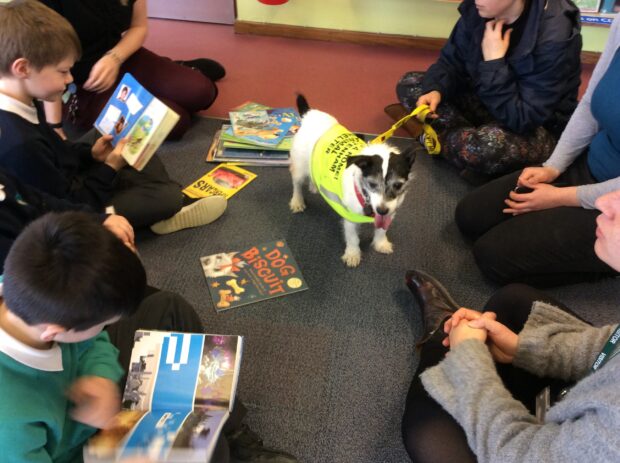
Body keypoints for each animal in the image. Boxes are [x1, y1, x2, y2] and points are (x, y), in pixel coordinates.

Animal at [290, 95, 416, 268]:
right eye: (372, 184)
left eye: (398, 185)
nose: (382, 210)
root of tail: (310, 114)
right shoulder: (349, 217)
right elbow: (352, 238)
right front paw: (352, 254)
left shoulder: (391, 211)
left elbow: (382, 229)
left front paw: (381, 243)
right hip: (300, 165)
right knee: (297, 183)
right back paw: (297, 201)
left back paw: (314, 186)